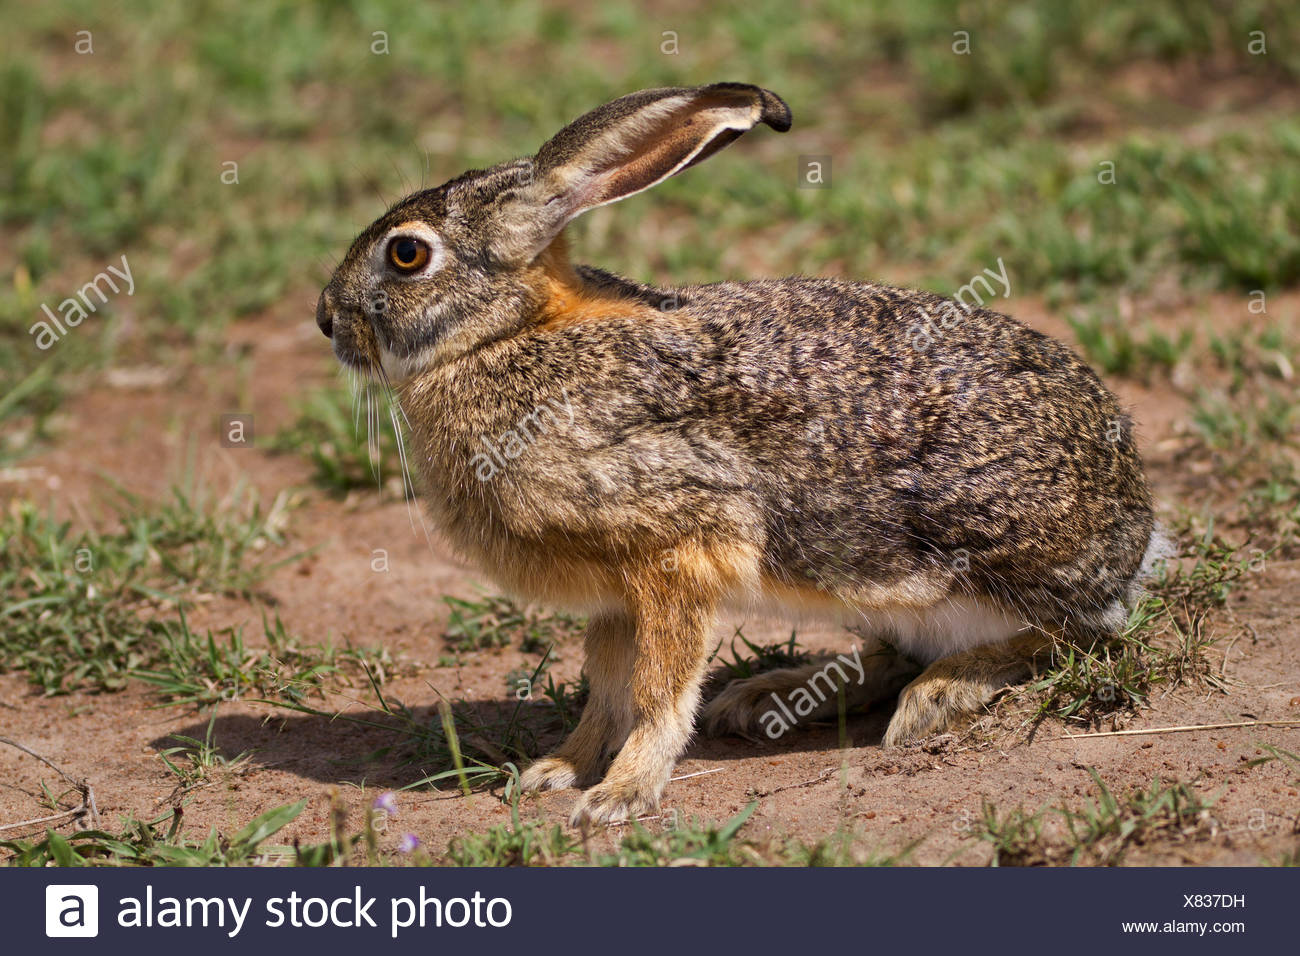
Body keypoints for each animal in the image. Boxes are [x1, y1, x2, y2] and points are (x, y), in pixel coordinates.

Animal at [315, 82, 1166, 826]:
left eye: (406, 255)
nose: (326, 319)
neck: (505, 337)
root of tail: (1135, 533)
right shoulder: (616, 591)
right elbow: (605, 686)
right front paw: (557, 769)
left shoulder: (679, 547)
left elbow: (655, 692)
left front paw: (617, 795)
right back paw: (772, 697)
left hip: (984, 546)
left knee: (1072, 635)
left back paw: (937, 697)